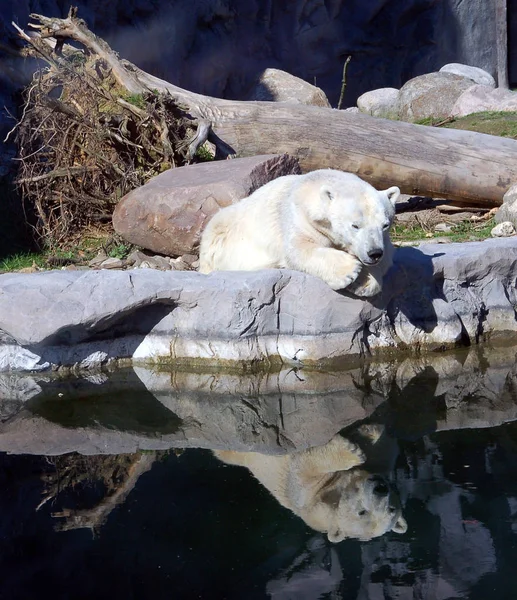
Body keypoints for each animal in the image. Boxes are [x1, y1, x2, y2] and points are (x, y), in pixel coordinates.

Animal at [199, 169, 400, 296]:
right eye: (355, 225)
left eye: (385, 225)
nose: (374, 253)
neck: (311, 186)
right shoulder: (298, 215)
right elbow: (299, 248)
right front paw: (349, 271)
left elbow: (389, 255)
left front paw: (364, 282)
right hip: (220, 234)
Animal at [214, 422, 408, 544]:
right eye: (362, 512)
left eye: (391, 509)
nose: (380, 488)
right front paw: (362, 441)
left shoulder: (314, 505)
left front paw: (360, 442)